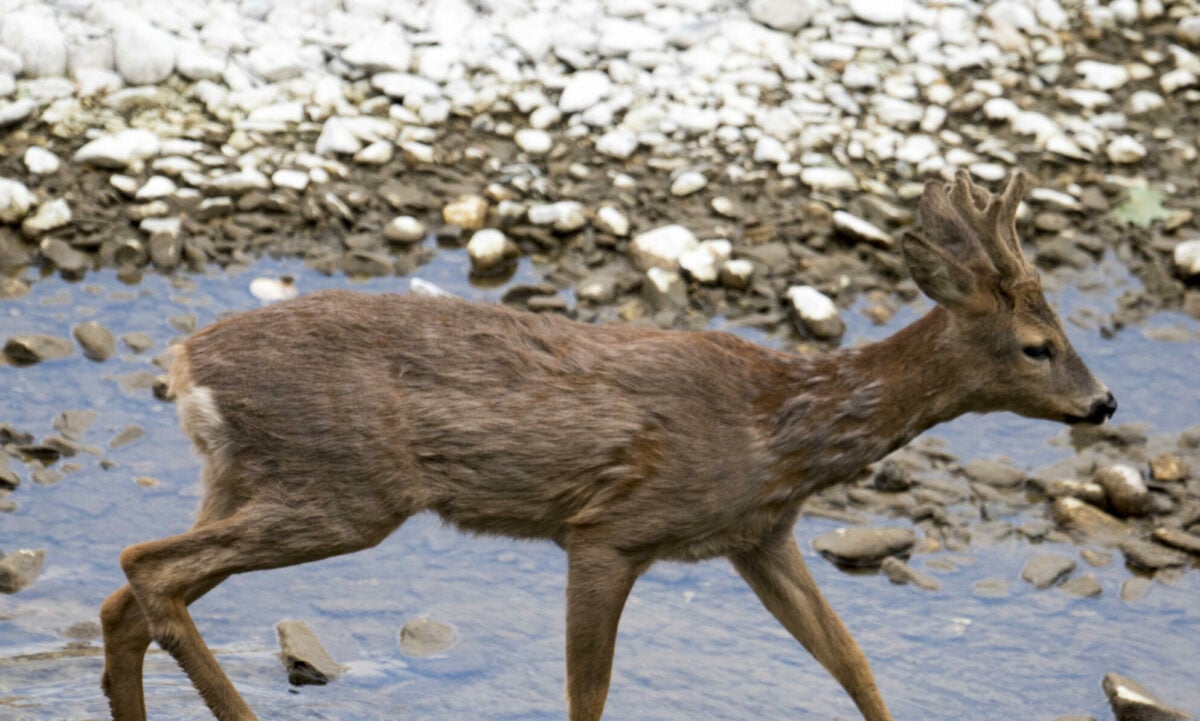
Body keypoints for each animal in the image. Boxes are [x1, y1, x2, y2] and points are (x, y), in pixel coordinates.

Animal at [100, 170, 1113, 719]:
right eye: (1038, 344)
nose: (1103, 402)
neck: (780, 423)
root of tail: (185, 358)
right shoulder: (609, 528)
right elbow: (589, 694)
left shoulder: (760, 535)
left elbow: (851, 660)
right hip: (344, 487)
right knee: (145, 563)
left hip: (247, 477)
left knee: (129, 596)